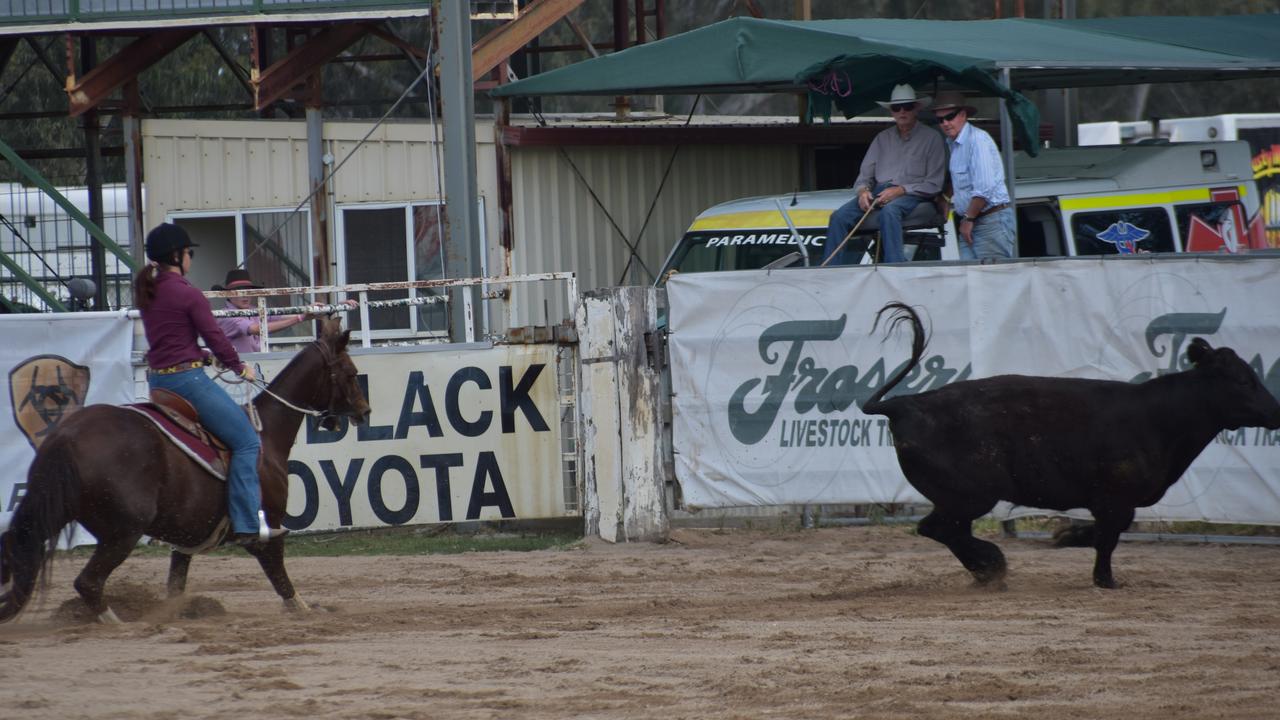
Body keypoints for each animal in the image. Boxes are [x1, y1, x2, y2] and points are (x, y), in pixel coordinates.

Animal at [0, 316, 371, 620]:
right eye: (351, 373)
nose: (365, 411)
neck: (265, 435)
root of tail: (66, 434)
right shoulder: (267, 527)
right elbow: (279, 574)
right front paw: (306, 609)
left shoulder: (185, 537)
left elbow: (176, 582)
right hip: (124, 530)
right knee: (88, 582)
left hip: (55, 511)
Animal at [860, 299, 1280, 586]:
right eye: (1243, 380)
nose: (1275, 411)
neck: (1158, 416)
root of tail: (904, 404)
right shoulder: (1115, 499)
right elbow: (1108, 538)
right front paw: (1104, 579)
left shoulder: (1112, 503)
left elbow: (1107, 533)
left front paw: (1066, 536)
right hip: (970, 495)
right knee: (938, 528)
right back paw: (992, 565)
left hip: (962, 499)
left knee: (949, 531)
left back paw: (987, 569)